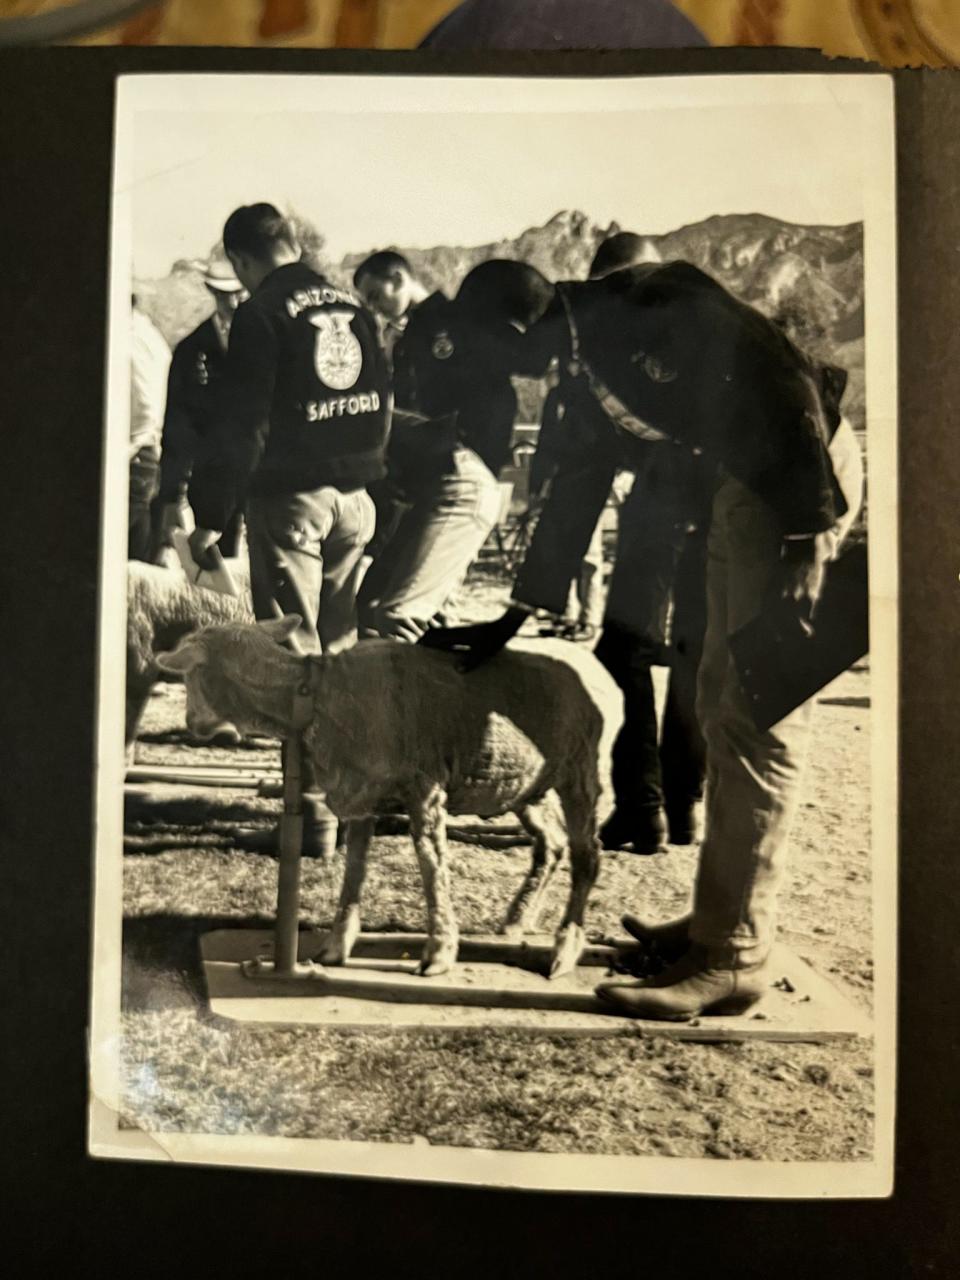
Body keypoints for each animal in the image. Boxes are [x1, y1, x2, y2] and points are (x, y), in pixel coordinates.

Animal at [160, 614, 604, 972]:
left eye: (190, 677)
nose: (192, 723)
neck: (313, 697)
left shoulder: (425, 789)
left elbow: (431, 865)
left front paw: (439, 954)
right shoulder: (359, 795)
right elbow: (354, 870)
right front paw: (335, 948)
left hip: (581, 770)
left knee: (587, 855)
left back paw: (564, 950)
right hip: (525, 783)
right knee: (552, 843)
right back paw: (516, 921)